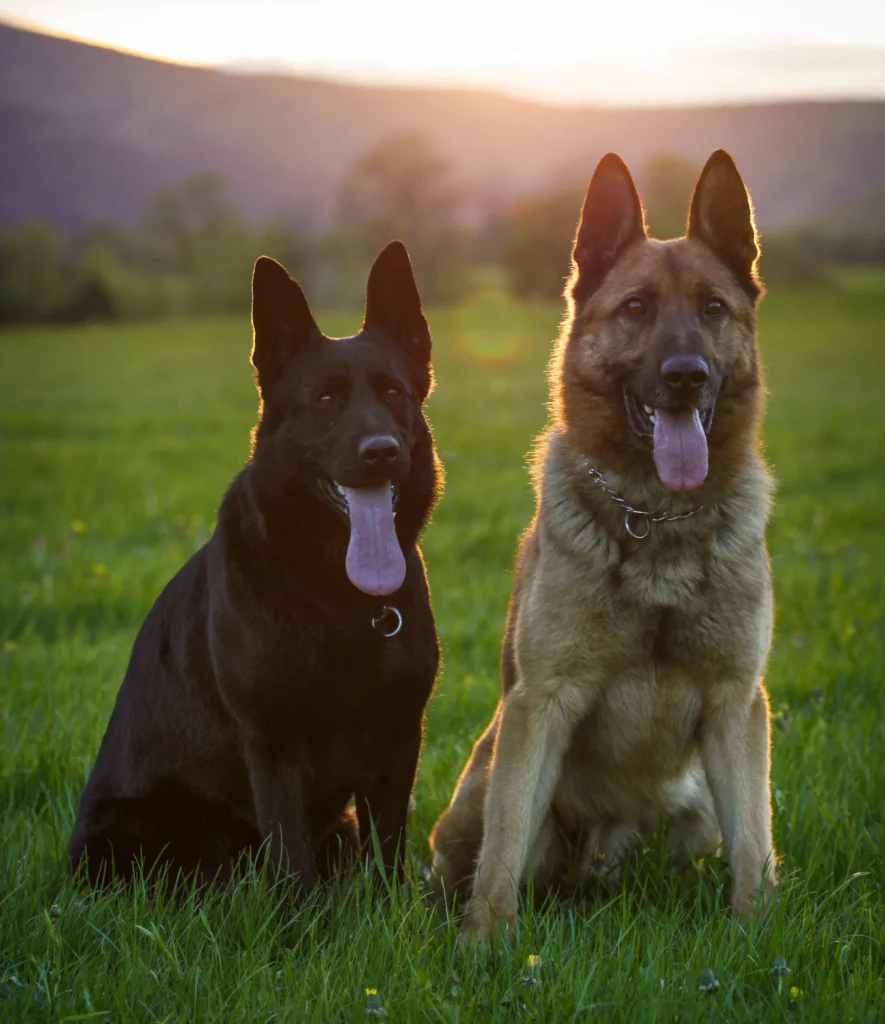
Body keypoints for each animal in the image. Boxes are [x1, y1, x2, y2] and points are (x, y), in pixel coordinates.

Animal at [69, 243, 442, 892]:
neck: (339, 599)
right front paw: (304, 920)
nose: (381, 452)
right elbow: (292, 866)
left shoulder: (400, 738)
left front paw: (391, 909)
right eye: (326, 400)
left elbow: (388, 854)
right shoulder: (274, 744)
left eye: (393, 393)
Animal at [432, 149, 778, 942]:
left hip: (695, 806)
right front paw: (484, 946)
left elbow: (755, 842)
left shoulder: (737, 704)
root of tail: (601, 858)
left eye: (714, 309)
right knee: (474, 853)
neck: (657, 518)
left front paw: (757, 935)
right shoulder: (542, 705)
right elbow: (501, 852)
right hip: (484, 774)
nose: (686, 376)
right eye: (636, 309)